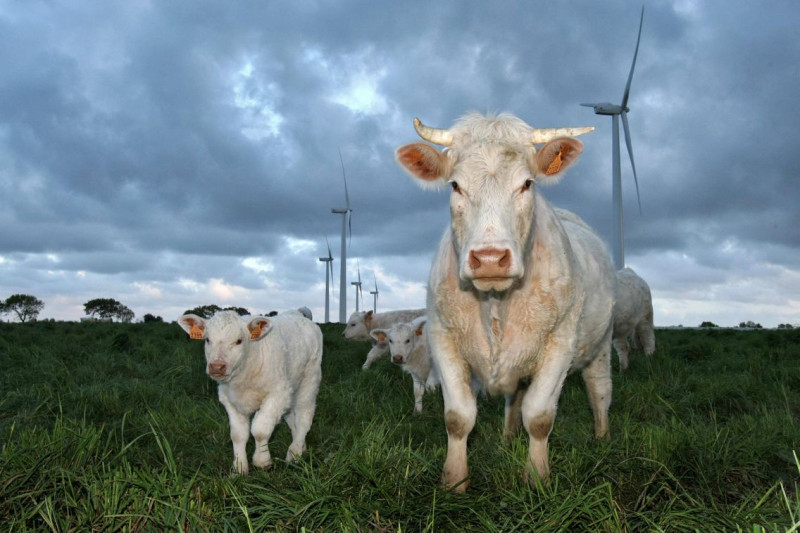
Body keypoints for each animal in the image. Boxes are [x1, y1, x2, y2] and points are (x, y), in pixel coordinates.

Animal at [177, 310, 323, 474]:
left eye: (239, 341)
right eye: (207, 340)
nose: (217, 366)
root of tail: (297, 313)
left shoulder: (278, 394)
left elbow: (260, 430)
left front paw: (262, 461)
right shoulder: (229, 399)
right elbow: (238, 435)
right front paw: (239, 467)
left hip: (310, 380)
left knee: (304, 417)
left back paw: (294, 453)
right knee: (292, 420)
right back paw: (300, 447)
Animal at [395, 112, 616, 491]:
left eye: (527, 184)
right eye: (455, 186)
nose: (489, 258)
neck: (496, 302)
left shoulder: (560, 344)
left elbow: (539, 417)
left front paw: (537, 478)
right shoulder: (443, 339)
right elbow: (458, 418)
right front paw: (454, 481)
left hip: (600, 345)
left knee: (598, 390)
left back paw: (601, 437)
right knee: (516, 399)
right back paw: (507, 438)